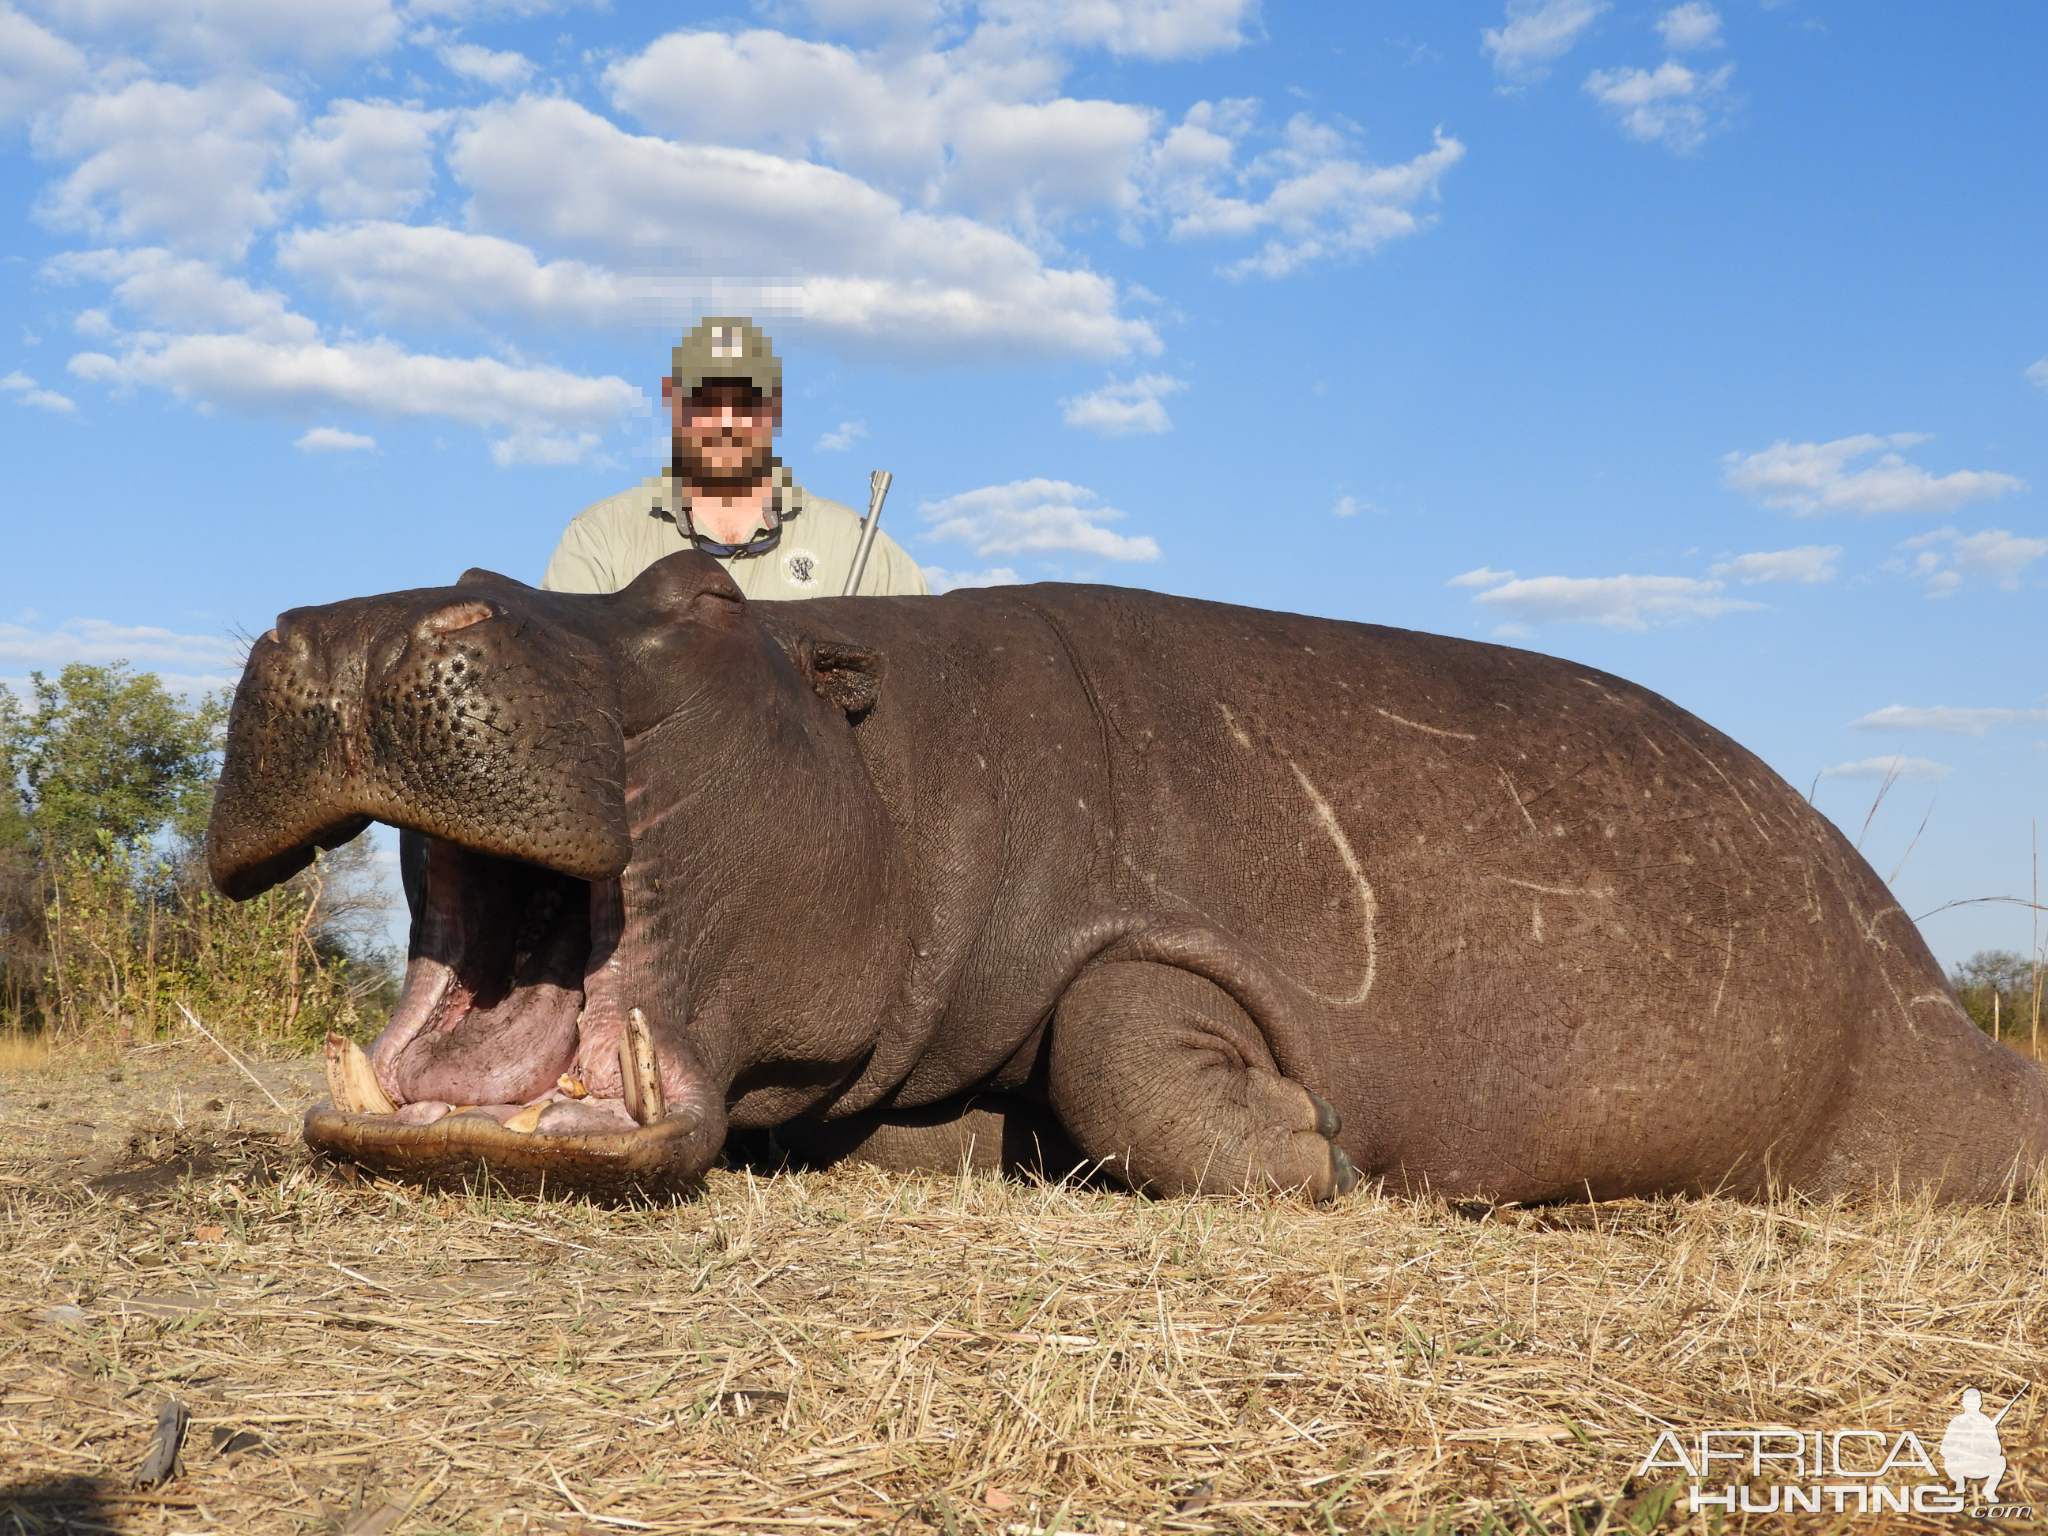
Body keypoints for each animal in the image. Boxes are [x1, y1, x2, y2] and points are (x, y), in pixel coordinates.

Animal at [207, 552, 2048, 1204]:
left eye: (702, 599)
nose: (361, 622)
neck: (889, 754)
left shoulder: (1179, 928)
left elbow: (1120, 1015)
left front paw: (1311, 1147)